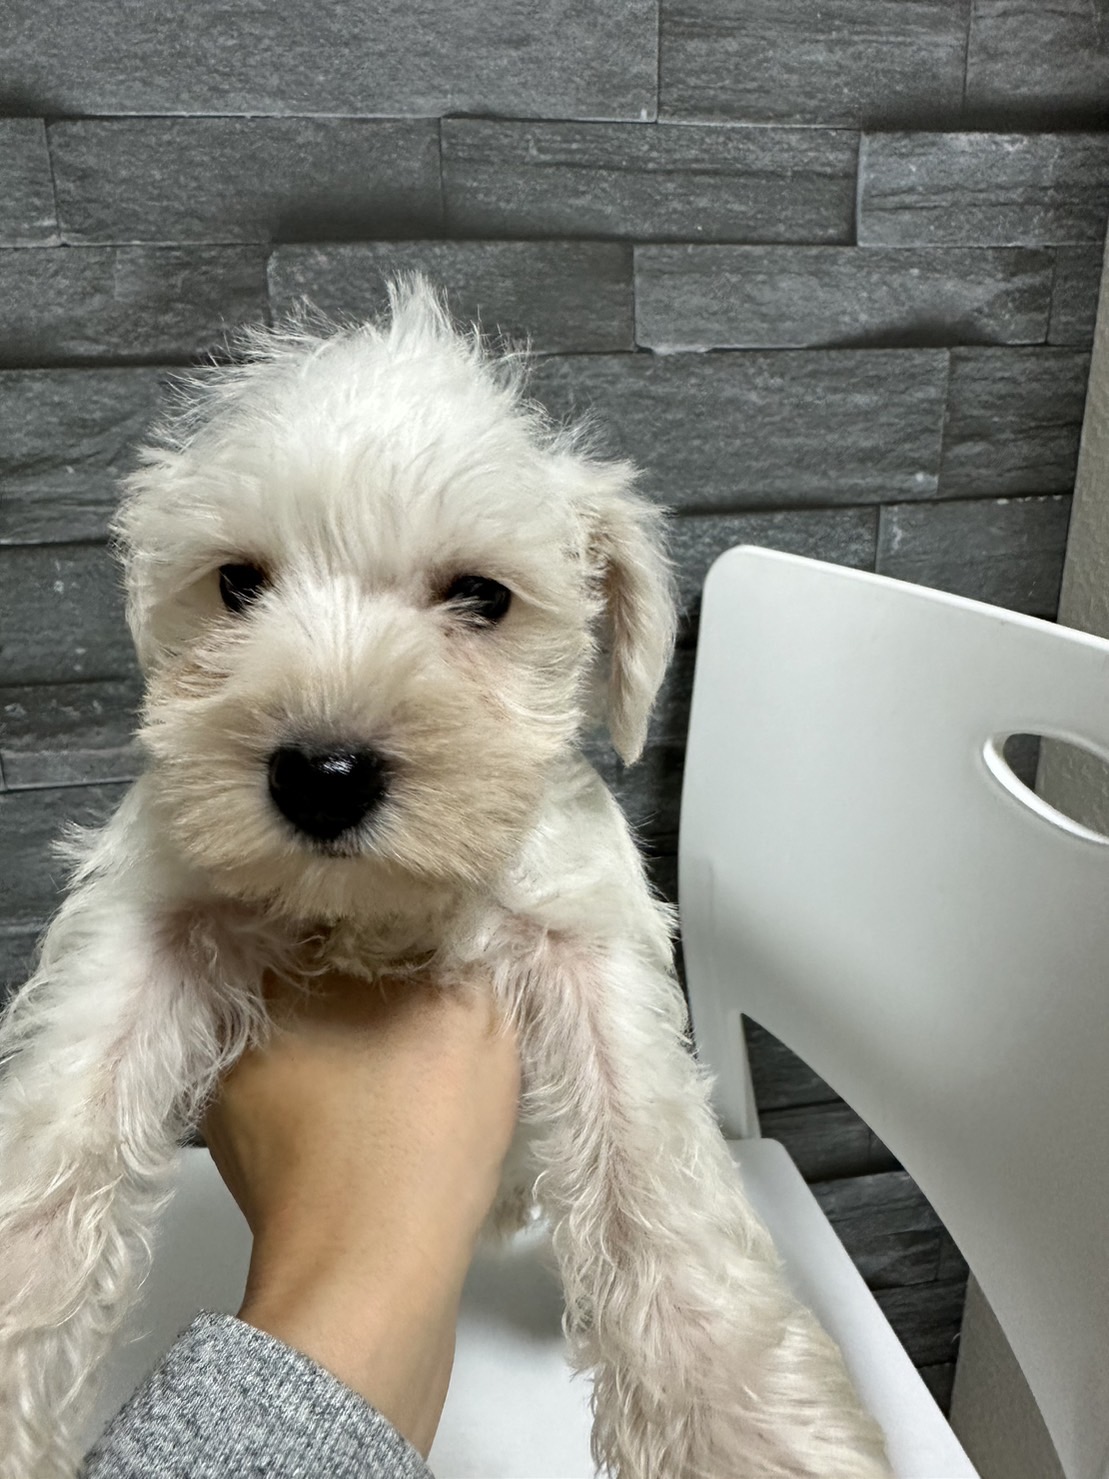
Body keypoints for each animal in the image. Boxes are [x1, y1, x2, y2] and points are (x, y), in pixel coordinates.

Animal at [0, 278, 891, 1479]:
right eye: (236, 584)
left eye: (481, 597)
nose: (322, 775)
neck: (376, 914)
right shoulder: (149, 917)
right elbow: (54, 1144)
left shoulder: (584, 939)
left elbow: (659, 1191)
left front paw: (749, 1433)